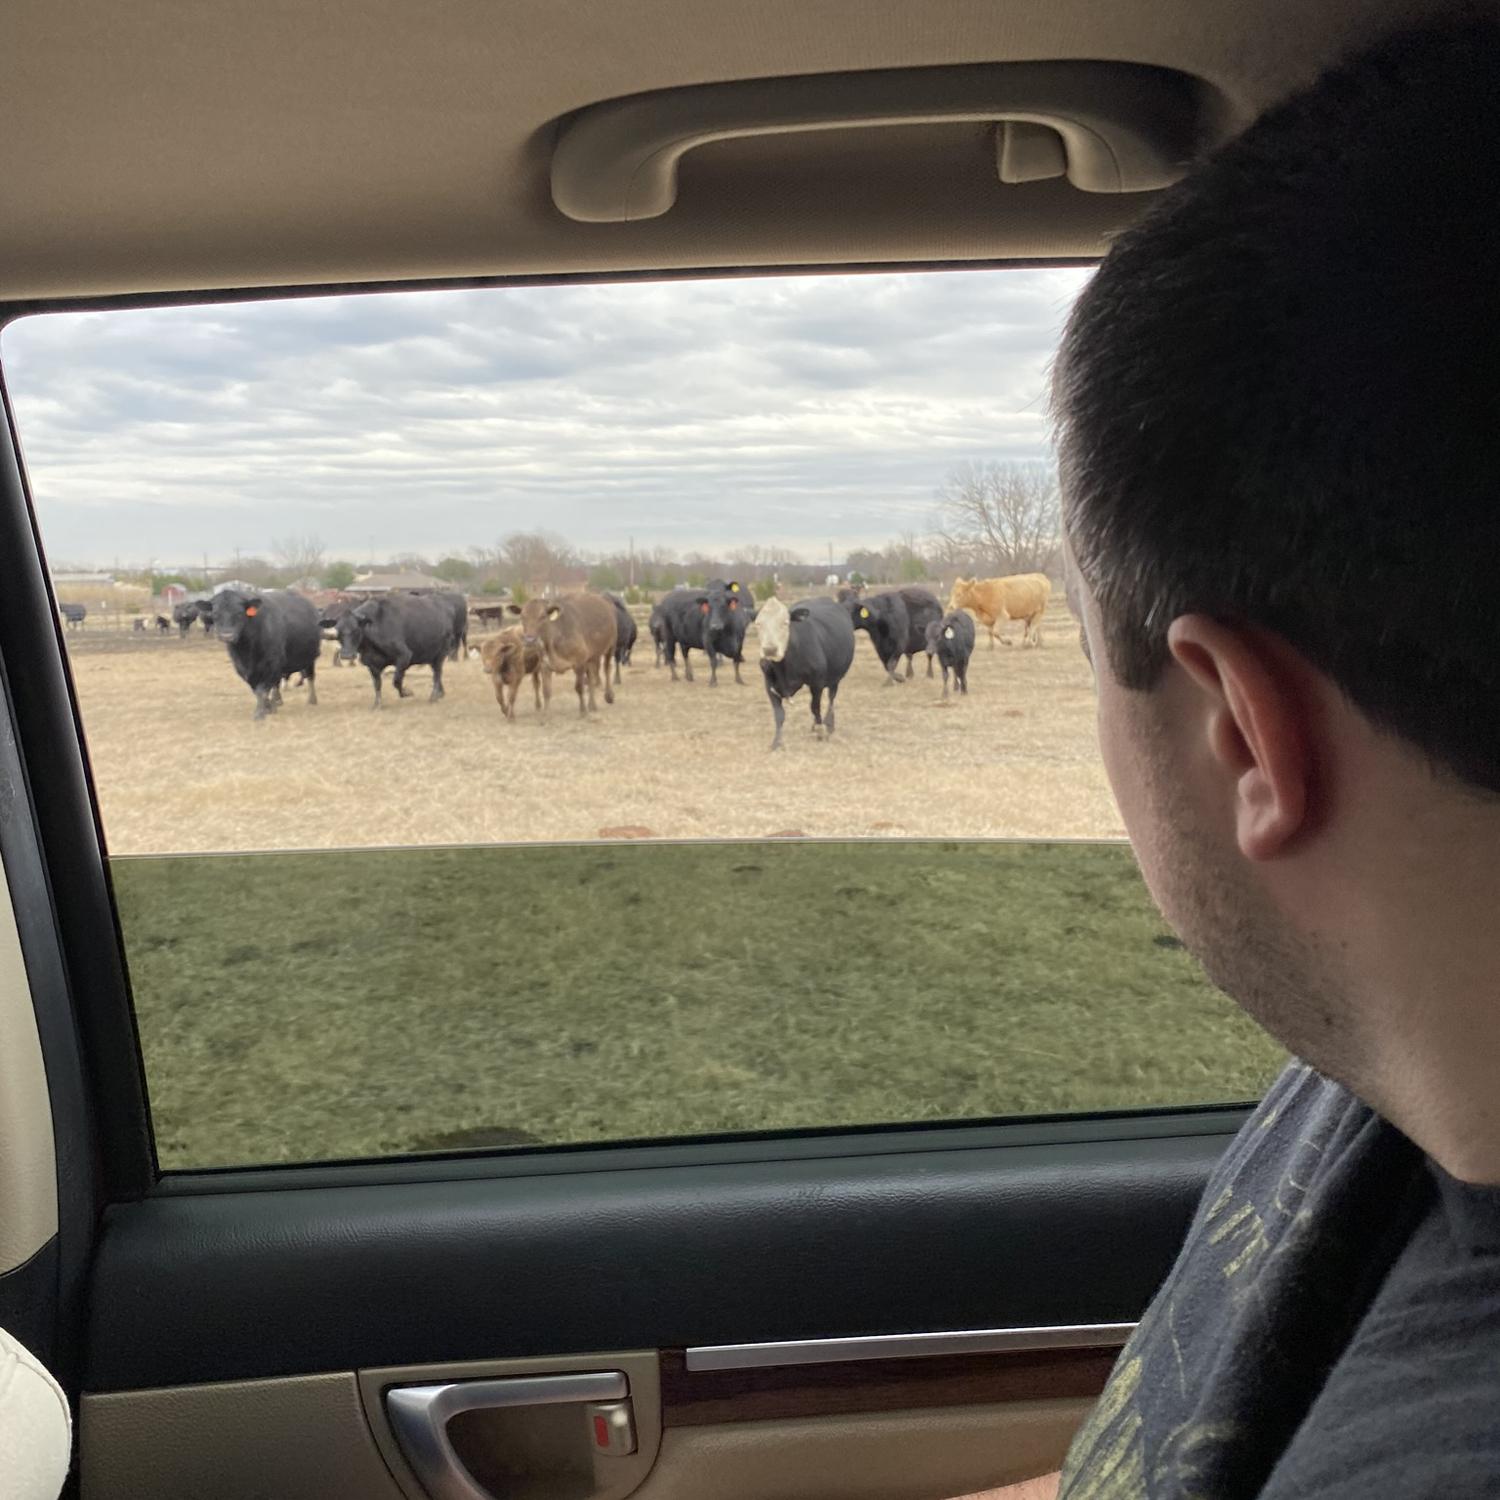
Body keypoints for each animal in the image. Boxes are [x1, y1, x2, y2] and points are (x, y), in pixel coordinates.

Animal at [507, 591, 618, 720]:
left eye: (543, 616)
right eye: (522, 617)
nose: (530, 640)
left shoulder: (579, 662)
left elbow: (579, 687)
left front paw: (583, 711)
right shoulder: (545, 665)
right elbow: (546, 691)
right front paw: (545, 715)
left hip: (611, 646)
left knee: (606, 668)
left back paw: (609, 696)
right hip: (591, 656)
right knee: (592, 678)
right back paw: (592, 705)